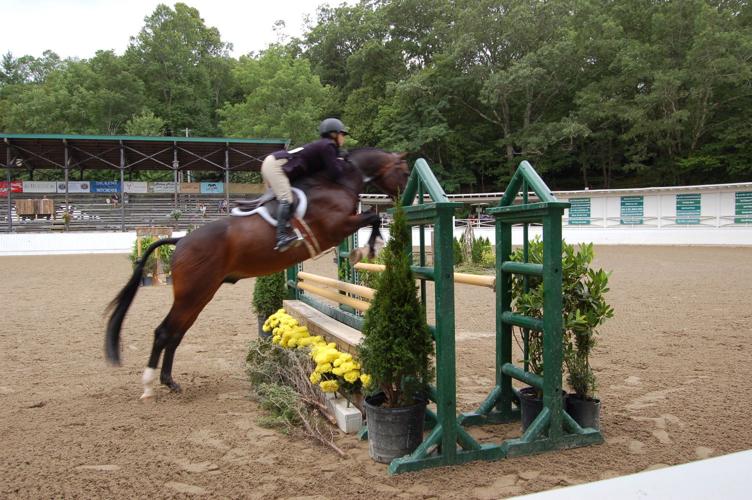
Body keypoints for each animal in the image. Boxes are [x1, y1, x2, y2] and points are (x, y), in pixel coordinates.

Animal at [105, 148, 409, 400]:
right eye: (405, 172)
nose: (407, 199)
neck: (337, 181)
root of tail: (180, 241)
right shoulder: (337, 226)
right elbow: (372, 216)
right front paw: (368, 249)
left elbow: (371, 218)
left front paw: (368, 248)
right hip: (192, 294)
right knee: (164, 332)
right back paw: (148, 385)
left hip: (200, 295)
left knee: (176, 333)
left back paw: (169, 381)